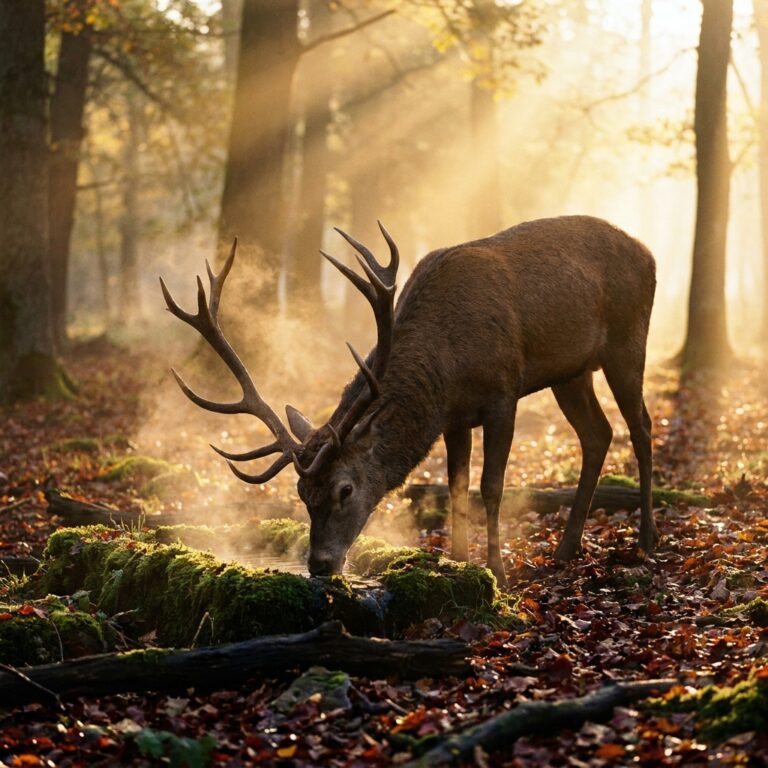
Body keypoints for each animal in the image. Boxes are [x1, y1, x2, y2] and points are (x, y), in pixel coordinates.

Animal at [160, 215, 657, 588]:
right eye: (301, 493)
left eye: (345, 489)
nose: (319, 565)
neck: (447, 364)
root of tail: (648, 252)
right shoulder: (454, 416)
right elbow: (457, 484)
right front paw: (459, 561)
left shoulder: (503, 392)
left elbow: (490, 485)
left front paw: (496, 570)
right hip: (571, 372)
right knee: (598, 434)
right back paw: (567, 547)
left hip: (627, 341)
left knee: (641, 427)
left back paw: (647, 539)